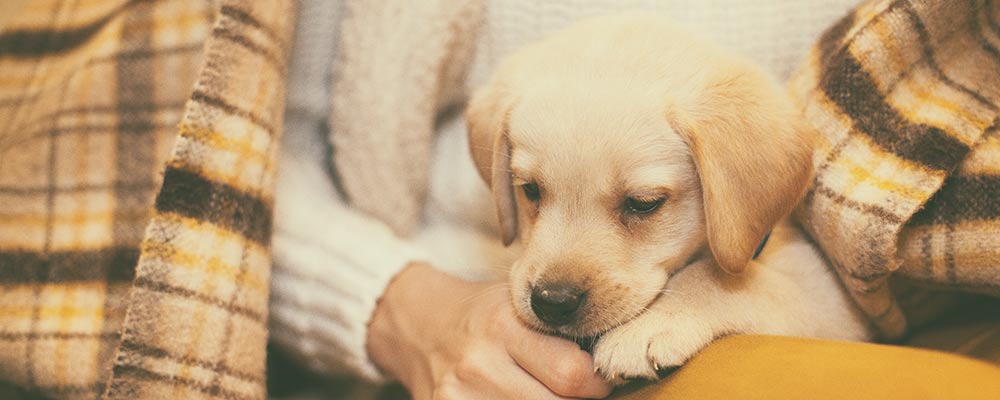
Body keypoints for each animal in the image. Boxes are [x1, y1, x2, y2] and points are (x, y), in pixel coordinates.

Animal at [464, 14, 872, 382]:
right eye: (530, 190)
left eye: (643, 203)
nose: (552, 302)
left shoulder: (833, 303)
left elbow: (720, 276)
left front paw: (648, 325)